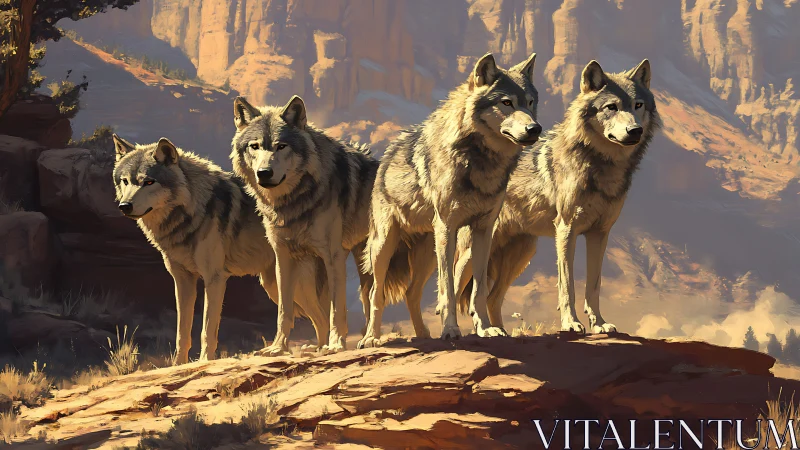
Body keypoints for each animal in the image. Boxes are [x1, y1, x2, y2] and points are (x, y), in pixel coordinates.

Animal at [112, 135, 330, 364]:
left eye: (148, 182)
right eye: (125, 181)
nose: (124, 206)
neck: (189, 213)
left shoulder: (214, 278)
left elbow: (207, 330)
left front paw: (204, 362)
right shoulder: (182, 280)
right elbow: (182, 332)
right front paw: (178, 364)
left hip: (294, 287)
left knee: (323, 317)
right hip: (274, 285)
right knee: (319, 318)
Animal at [231, 95, 379, 354]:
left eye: (281, 146)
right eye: (255, 146)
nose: (264, 172)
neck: (293, 203)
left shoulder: (333, 256)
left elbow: (337, 309)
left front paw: (336, 344)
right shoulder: (282, 258)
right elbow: (284, 312)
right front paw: (278, 348)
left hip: (367, 262)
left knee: (370, 298)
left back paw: (365, 339)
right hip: (289, 282)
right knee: (318, 316)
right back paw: (317, 346)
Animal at [358, 51, 541, 348]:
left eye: (530, 102)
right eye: (506, 103)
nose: (535, 128)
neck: (479, 163)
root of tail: (388, 152)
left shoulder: (483, 231)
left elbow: (478, 289)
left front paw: (486, 328)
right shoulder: (447, 227)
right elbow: (448, 288)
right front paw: (451, 330)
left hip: (427, 254)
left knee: (411, 292)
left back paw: (423, 335)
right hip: (385, 245)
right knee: (376, 292)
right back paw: (371, 338)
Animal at [454, 59, 661, 334]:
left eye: (638, 105)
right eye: (611, 107)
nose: (634, 130)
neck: (601, 166)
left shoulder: (600, 233)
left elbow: (594, 286)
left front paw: (599, 323)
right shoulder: (566, 229)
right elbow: (568, 286)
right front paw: (571, 323)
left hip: (520, 255)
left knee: (491, 298)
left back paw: (500, 332)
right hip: (475, 252)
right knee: (453, 289)